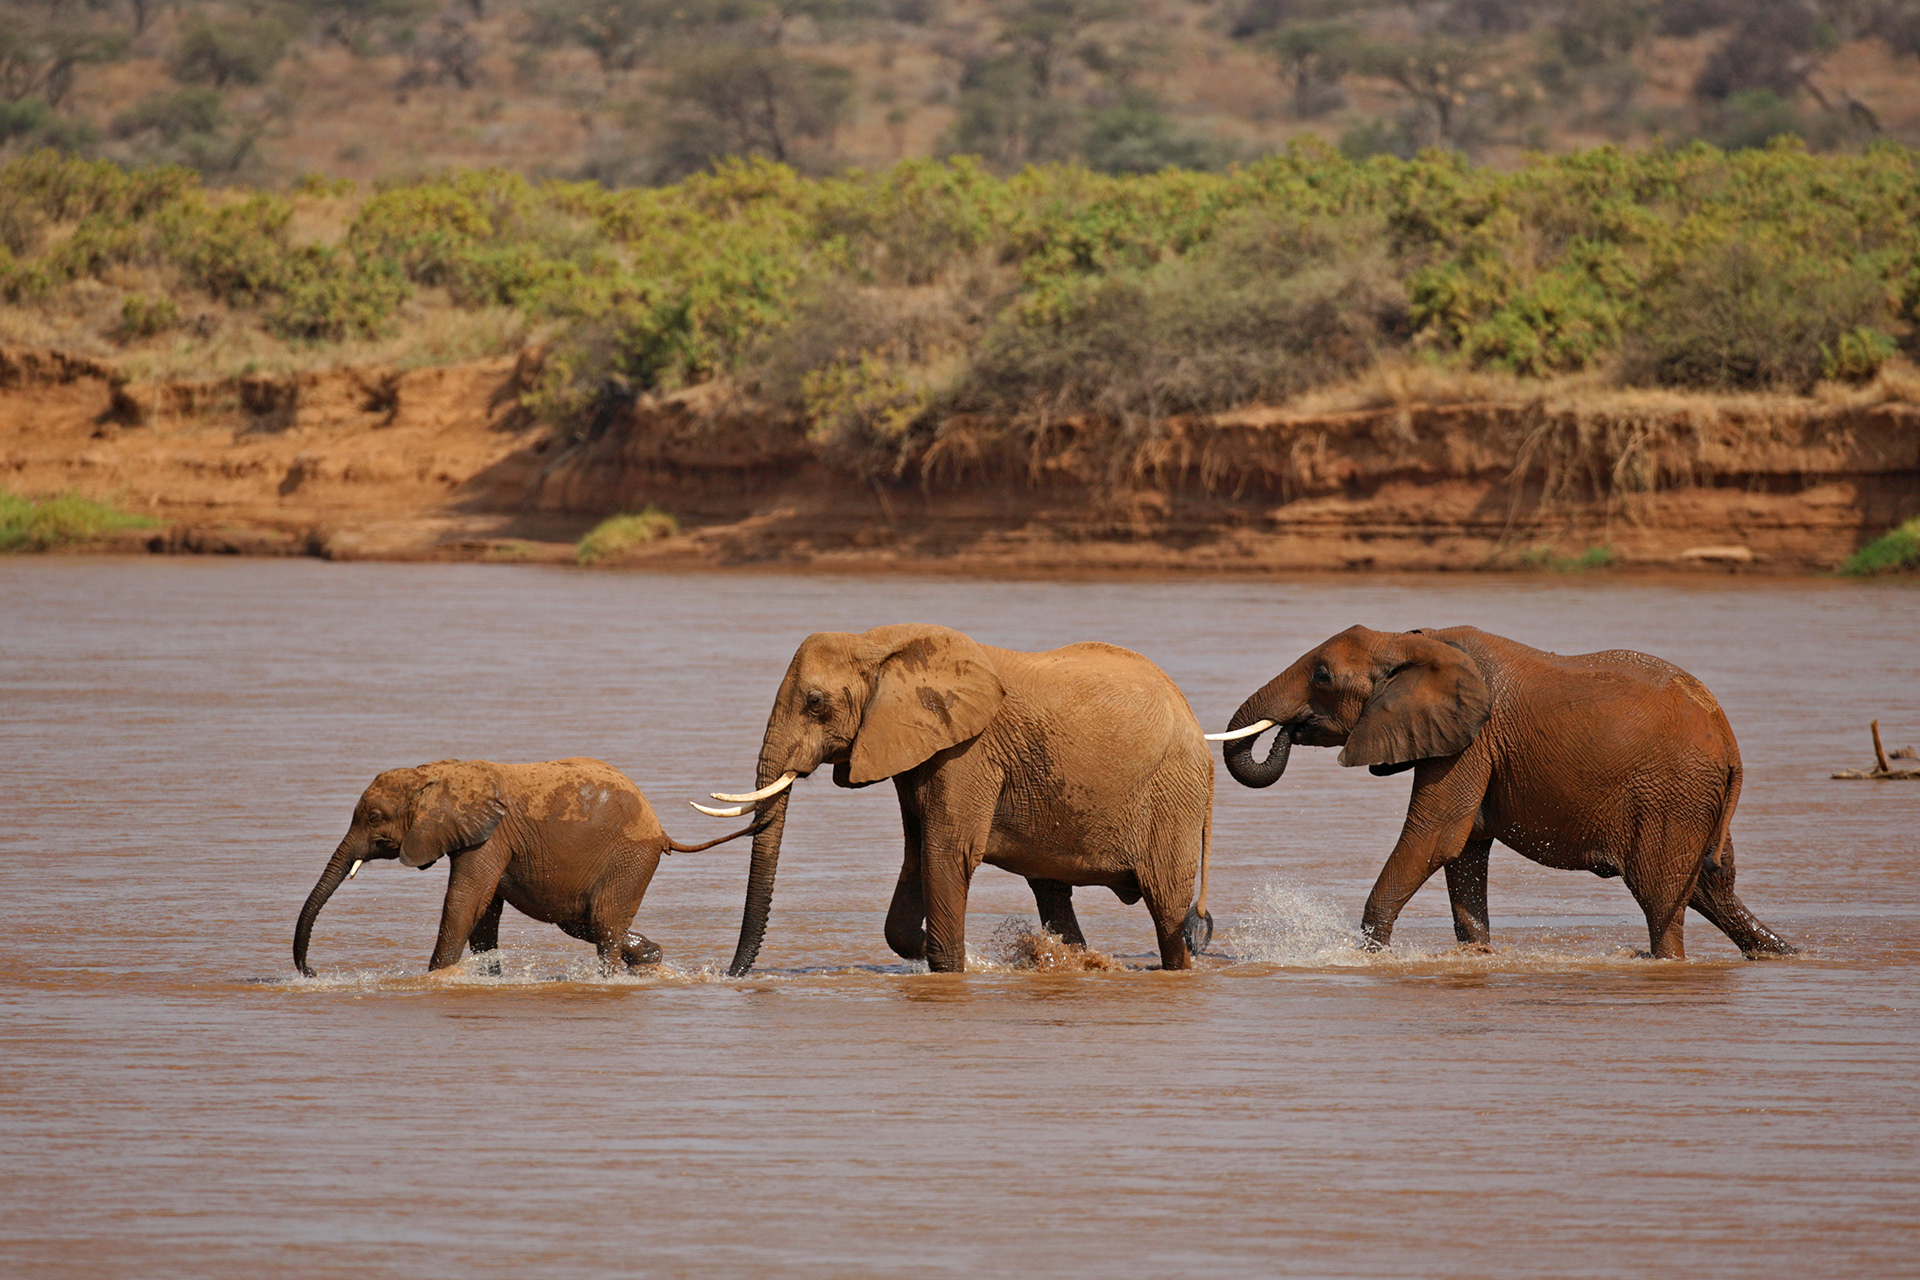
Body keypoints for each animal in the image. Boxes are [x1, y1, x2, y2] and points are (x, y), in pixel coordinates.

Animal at [293, 758, 757, 977]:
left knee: (604, 923)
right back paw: (650, 957)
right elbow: (484, 913)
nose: (312, 971)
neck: (436, 773)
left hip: (629, 858)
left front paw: (436, 979)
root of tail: (661, 830)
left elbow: (465, 902)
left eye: (374, 818)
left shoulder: (490, 837)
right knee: (586, 921)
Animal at [694, 624, 1216, 976]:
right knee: (1052, 894)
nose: (730, 975)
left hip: (1174, 795)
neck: (878, 644)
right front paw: (940, 949)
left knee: (1167, 908)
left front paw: (953, 964)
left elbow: (946, 854)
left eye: (815, 703)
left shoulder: (968, 753)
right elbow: (916, 855)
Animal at [1211, 625, 1795, 961]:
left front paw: (1371, 955)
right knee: (1711, 886)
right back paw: (1779, 953)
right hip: (1697, 800)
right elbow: (1464, 849)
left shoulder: (1472, 739)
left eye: (1323, 675)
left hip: (1673, 796)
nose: (1290, 729)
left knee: (1660, 896)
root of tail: (1728, 739)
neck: (1409, 636)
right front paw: (1479, 955)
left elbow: (1435, 838)